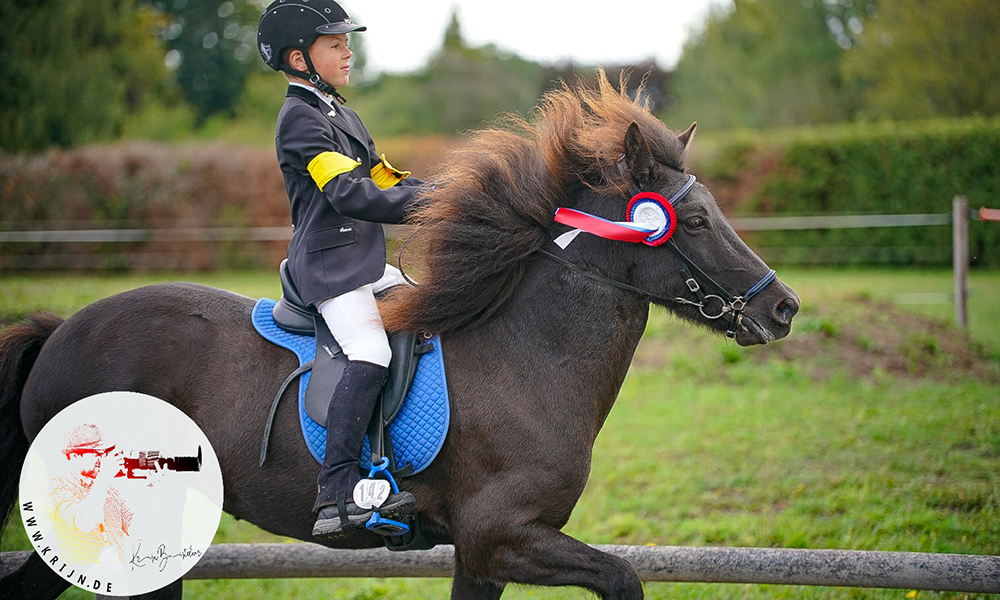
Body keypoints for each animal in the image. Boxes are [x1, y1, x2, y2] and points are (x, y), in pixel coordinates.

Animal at [0, 72, 796, 596]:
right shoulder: (501, 536)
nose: (783, 308)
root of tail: (61, 331)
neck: (525, 361)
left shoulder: (479, 554)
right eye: (696, 221)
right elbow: (623, 577)